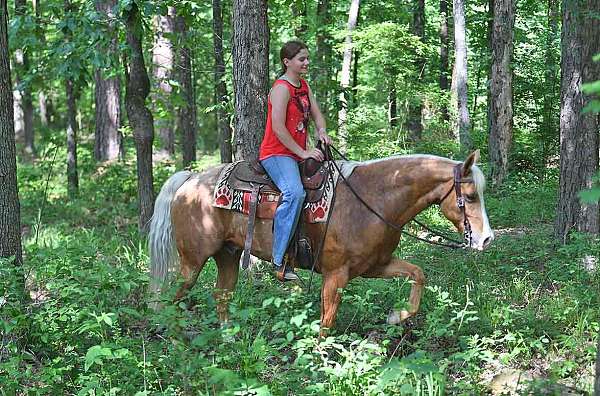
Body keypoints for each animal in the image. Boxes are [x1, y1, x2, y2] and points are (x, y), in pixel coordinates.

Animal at [149, 150, 492, 332]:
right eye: (471, 196)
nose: (486, 239)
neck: (373, 200)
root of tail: (190, 179)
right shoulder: (335, 274)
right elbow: (327, 321)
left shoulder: (375, 266)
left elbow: (418, 274)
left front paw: (397, 316)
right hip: (193, 261)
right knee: (173, 296)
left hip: (228, 255)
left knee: (221, 294)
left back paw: (227, 336)